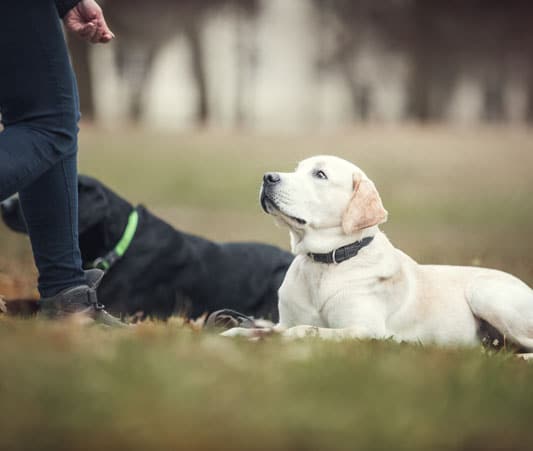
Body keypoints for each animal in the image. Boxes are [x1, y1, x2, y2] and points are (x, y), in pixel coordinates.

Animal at [223, 157, 532, 352]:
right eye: (297, 169)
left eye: (320, 174)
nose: (268, 177)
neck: (325, 263)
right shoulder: (283, 320)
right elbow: (259, 328)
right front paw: (233, 334)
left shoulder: (364, 330)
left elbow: (304, 330)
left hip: (486, 293)